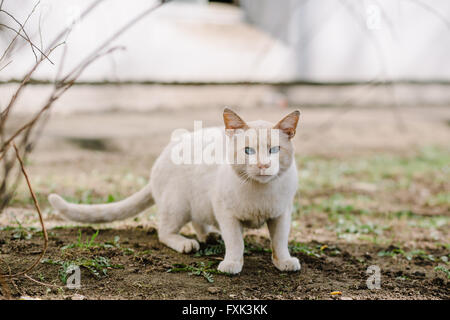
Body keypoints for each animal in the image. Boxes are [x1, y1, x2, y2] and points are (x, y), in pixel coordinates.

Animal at [48, 109, 302, 274]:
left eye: (275, 150)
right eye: (248, 151)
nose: (263, 165)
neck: (260, 190)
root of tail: (163, 153)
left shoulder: (283, 213)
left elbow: (280, 241)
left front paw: (284, 261)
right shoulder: (226, 214)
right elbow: (235, 242)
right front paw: (232, 263)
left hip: (199, 201)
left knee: (199, 220)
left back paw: (209, 235)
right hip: (178, 205)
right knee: (164, 232)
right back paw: (186, 243)